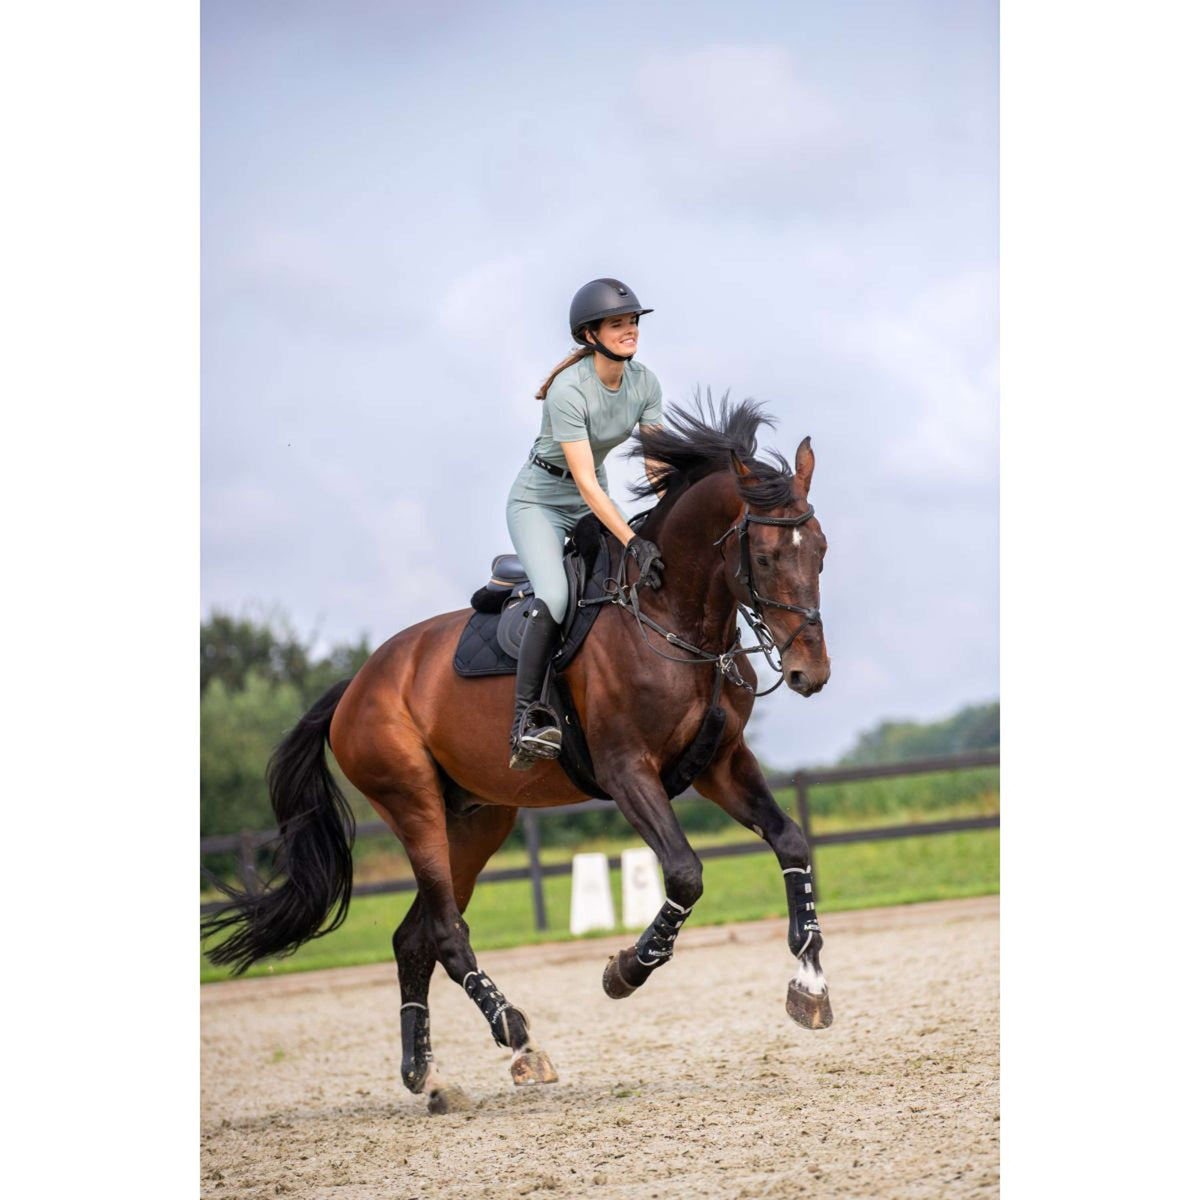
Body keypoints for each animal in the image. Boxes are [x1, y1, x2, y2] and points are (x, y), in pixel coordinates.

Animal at [201, 398, 830, 1108]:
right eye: (767, 556)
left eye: (821, 552)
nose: (810, 673)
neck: (673, 617)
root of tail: (354, 687)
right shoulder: (626, 771)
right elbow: (685, 874)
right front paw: (625, 971)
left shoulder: (721, 764)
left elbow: (791, 841)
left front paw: (809, 983)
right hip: (413, 803)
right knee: (445, 934)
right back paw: (519, 1037)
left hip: (477, 820)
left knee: (412, 938)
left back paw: (428, 1076)